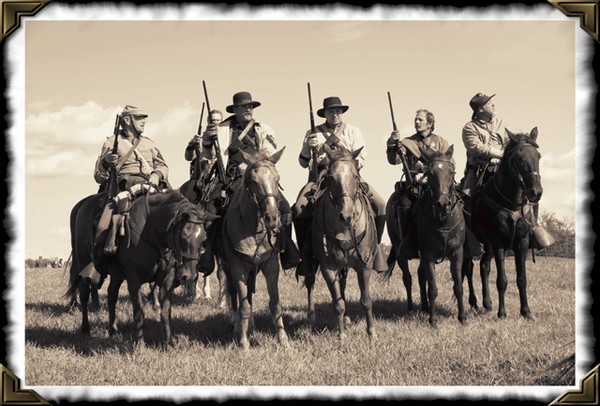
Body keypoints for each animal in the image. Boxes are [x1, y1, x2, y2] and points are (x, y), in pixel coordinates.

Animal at [65, 189, 216, 349]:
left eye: (203, 239)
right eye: (182, 235)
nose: (190, 276)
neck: (151, 232)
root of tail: (81, 206)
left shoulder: (167, 278)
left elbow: (165, 311)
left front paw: (169, 343)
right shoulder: (133, 279)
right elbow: (139, 310)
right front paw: (139, 344)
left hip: (117, 275)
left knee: (112, 295)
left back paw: (113, 329)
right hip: (82, 262)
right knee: (84, 294)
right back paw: (86, 329)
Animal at [220, 147, 288, 350]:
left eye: (277, 179)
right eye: (253, 181)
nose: (272, 218)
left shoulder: (271, 266)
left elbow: (275, 303)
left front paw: (283, 340)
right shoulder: (238, 268)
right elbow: (243, 306)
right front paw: (243, 343)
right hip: (228, 268)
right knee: (235, 297)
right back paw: (238, 327)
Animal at [308, 144, 378, 340]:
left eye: (355, 176)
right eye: (330, 177)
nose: (347, 216)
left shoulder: (365, 265)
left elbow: (366, 300)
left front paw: (371, 334)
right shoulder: (328, 268)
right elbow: (337, 303)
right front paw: (341, 336)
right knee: (310, 284)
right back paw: (312, 319)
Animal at [415, 145, 466, 327]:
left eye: (451, 171)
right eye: (430, 173)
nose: (442, 204)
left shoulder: (457, 253)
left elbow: (458, 287)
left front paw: (462, 318)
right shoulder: (428, 254)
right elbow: (433, 289)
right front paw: (433, 321)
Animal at [462, 127, 543, 320]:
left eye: (538, 156)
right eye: (519, 158)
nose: (536, 192)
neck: (510, 203)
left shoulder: (521, 243)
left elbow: (521, 279)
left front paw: (526, 312)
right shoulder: (498, 243)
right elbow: (502, 280)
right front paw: (502, 313)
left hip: (487, 245)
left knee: (484, 267)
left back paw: (487, 303)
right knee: (468, 268)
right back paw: (473, 302)